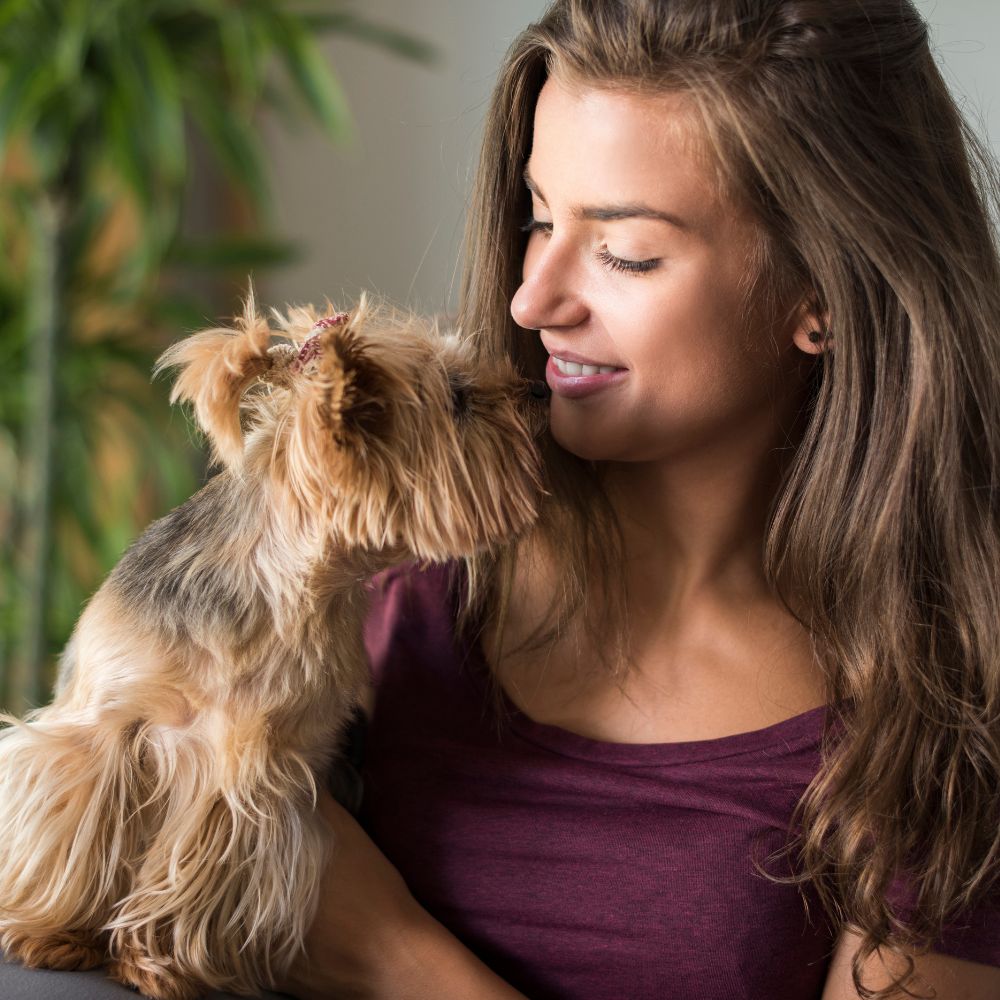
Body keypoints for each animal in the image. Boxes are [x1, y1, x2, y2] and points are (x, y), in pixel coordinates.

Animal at [0, 290, 548, 1000]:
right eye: (459, 398)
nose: (536, 390)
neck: (281, 583)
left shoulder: (252, 775)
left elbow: (204, 866)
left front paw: (160, 963)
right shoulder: (101, 728)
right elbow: (80, 826)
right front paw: (54, 932)